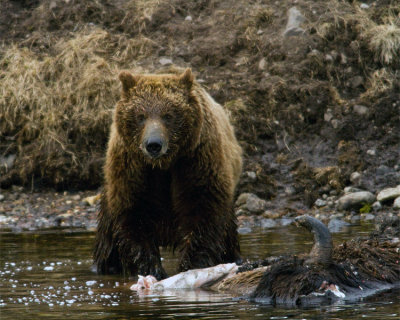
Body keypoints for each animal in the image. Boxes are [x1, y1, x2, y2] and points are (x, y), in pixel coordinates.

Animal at [94, 69, 242, 278]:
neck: (163, 164)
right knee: (108, 243)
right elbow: (134, 215)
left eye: (168, 115)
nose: (153, 144)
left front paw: (190, 264)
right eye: (140, 115)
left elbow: (202, 211)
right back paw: (107, 266)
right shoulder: (132, 168)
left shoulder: (196, 161)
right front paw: (151, 268)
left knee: (228, 236)